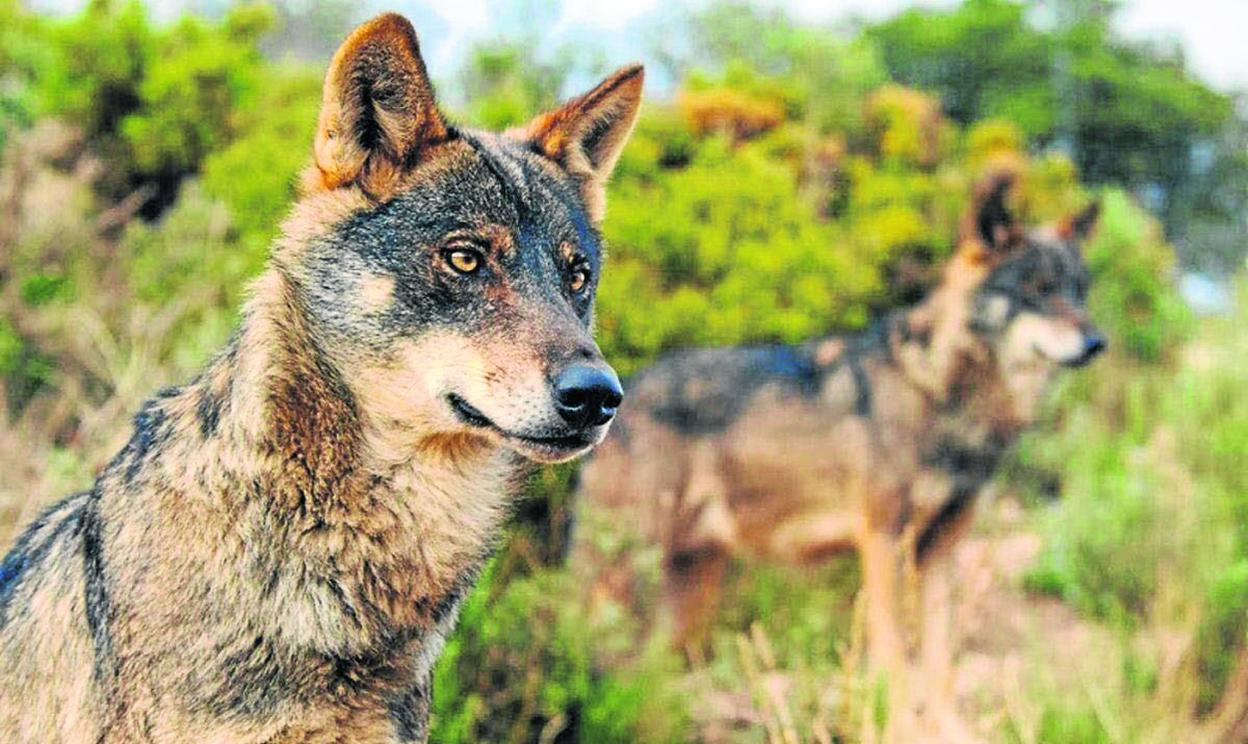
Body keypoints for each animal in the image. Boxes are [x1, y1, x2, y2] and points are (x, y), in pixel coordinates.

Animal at [574, 173, 1103, 739]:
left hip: (686, 594)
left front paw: (950, 730)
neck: (944, 395)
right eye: (1037, 289)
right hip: (626, 576)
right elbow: (894, 656)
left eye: (1079, 290)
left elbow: (940, 661)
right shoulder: (883, 540)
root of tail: (616, 396)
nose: (1097, 341)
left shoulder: (941, 551)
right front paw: (901, 728)